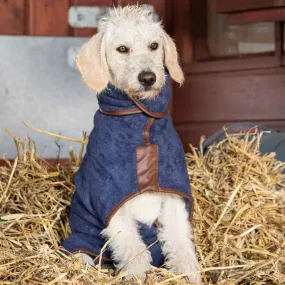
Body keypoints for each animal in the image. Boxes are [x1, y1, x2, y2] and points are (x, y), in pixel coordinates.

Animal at [72, 5, 200, 282]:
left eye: (154, 45)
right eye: (122, 49)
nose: (148, 77)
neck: (140, 125)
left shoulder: (172, 196)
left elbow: (179, 238)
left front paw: (188, 272)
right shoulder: (111, 202)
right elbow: (131, 245)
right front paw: (138, 274)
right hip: (81, 239)